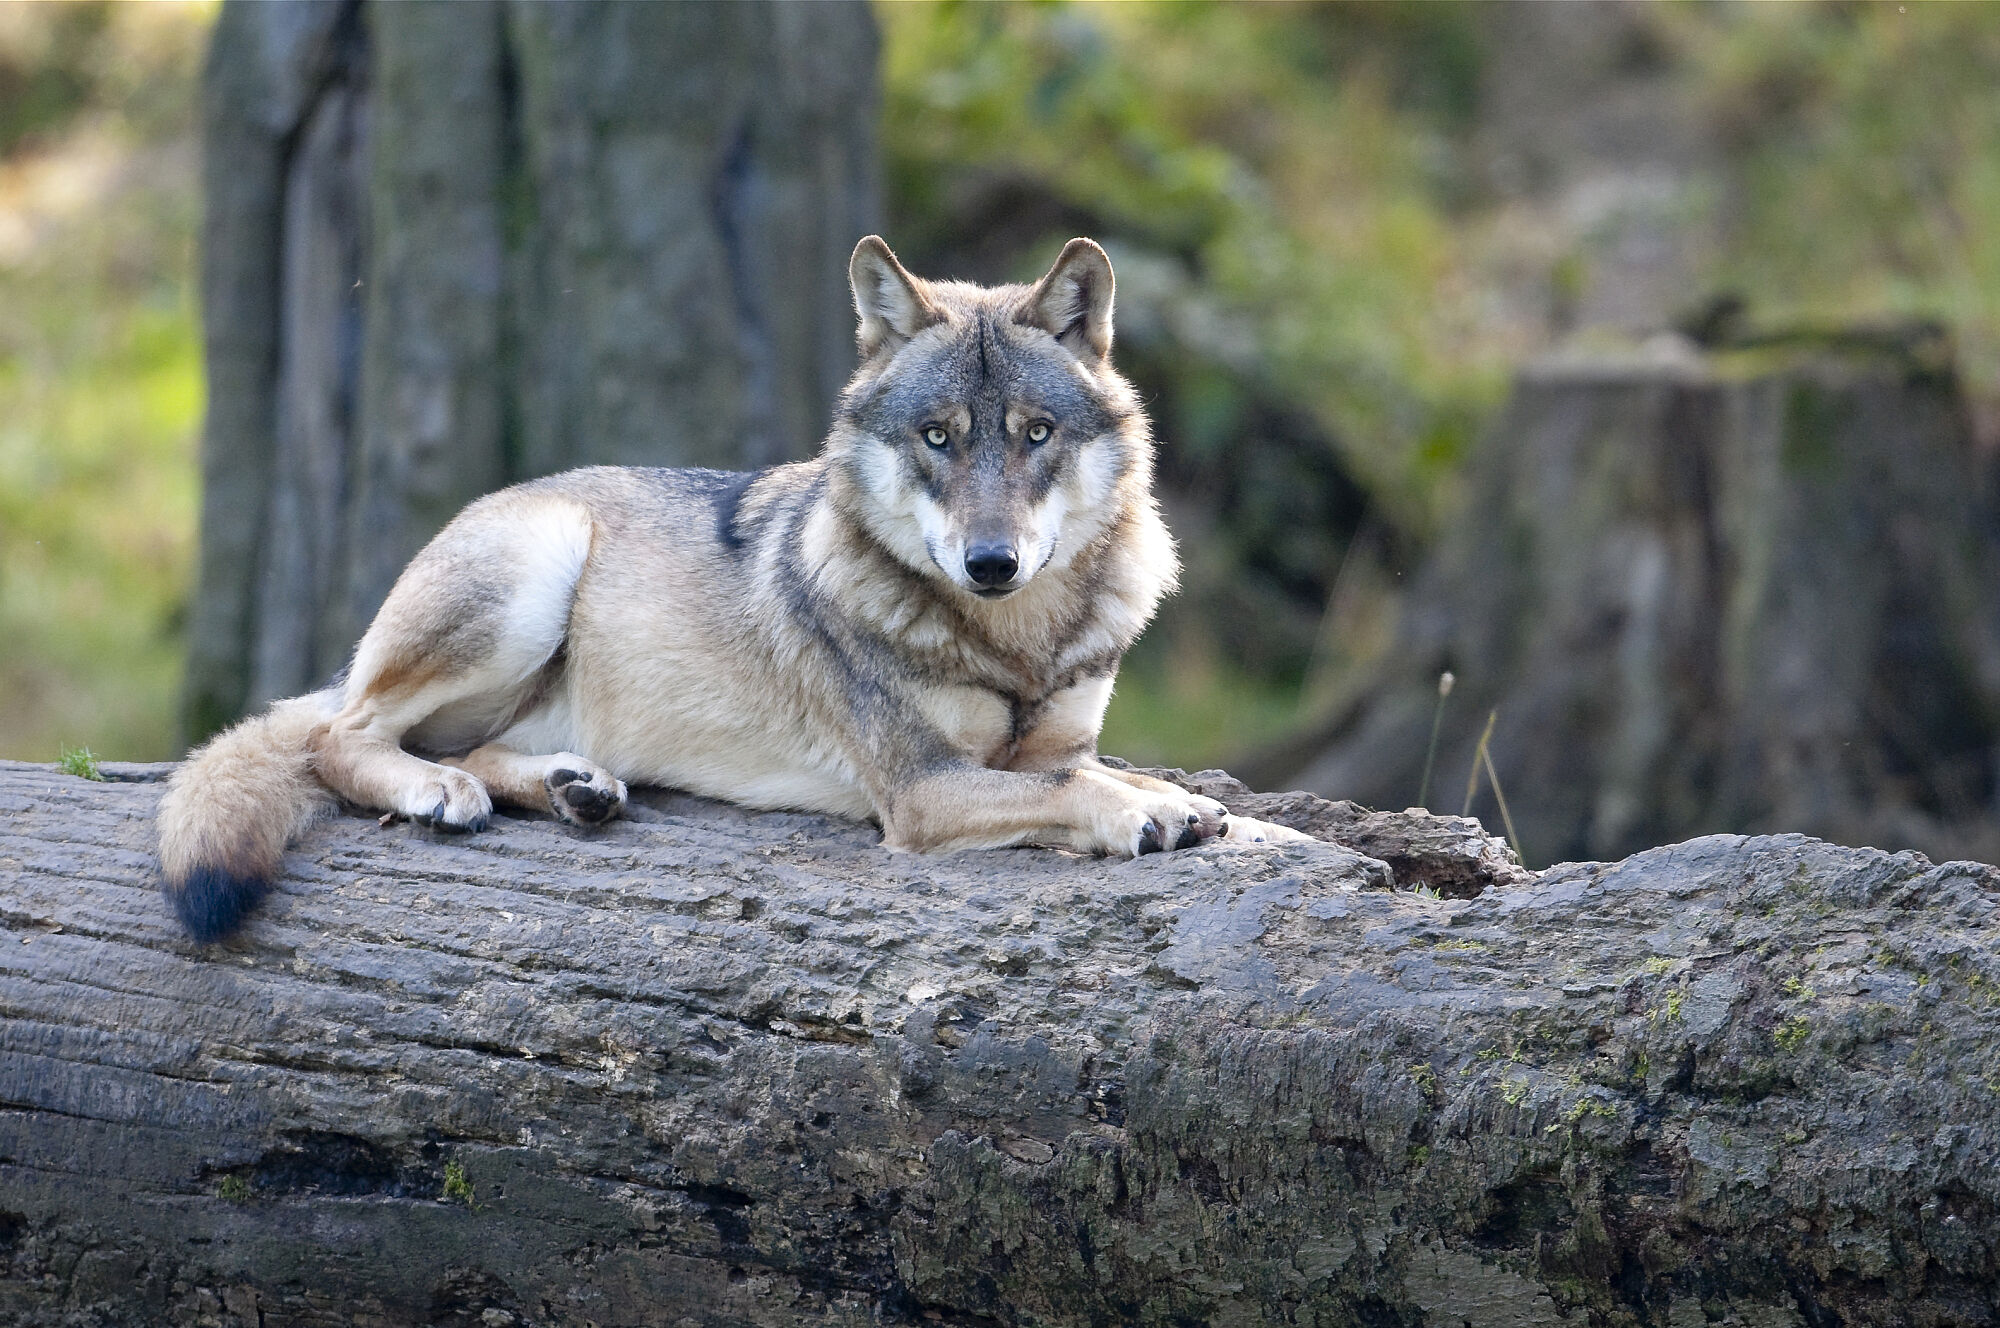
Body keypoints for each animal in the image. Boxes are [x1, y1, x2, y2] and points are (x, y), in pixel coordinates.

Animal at [160, 236, 1312, 944]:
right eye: (937, 437)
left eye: (1034, 434)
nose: (992, 563)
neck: (1015, 639)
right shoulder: (922, 790)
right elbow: (1084, 791)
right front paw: (1147, 816)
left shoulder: (1054, 740)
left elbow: (1145, 783)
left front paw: (1232, 822)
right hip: (530, 572)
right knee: (337, 737)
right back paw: (439, 791)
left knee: (465, 749)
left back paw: (572, 787)